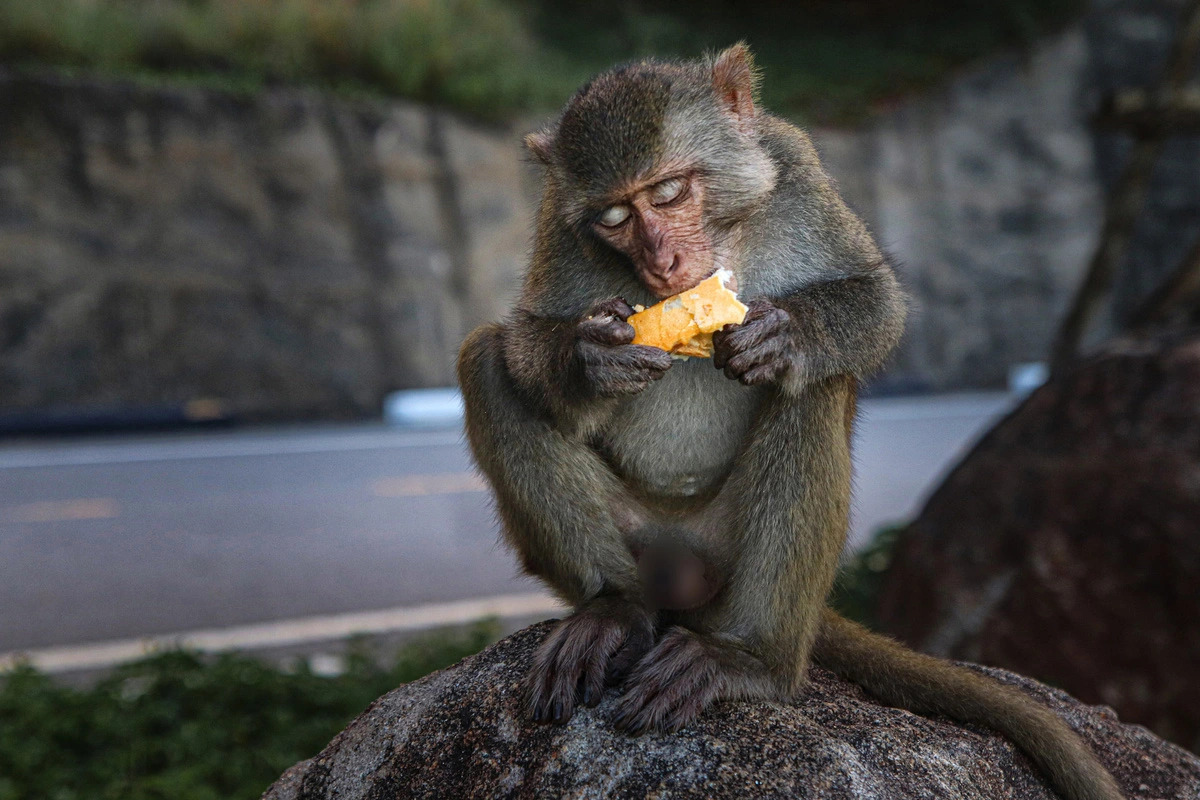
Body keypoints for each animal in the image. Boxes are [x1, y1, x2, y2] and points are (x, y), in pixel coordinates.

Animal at [456, 43, 1123, 800]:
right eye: (615, 216)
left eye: (668, 192)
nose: (663, 262)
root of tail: (681, 554)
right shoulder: (556, 223)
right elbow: (523, 340)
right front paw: (588, 358)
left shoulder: (794, 166)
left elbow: (875, 300)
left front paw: (791, 334)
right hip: (637, 537)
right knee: (486, 362)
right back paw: (613, 610)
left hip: (732, 551)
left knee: (813, 390)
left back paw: (751, 659)